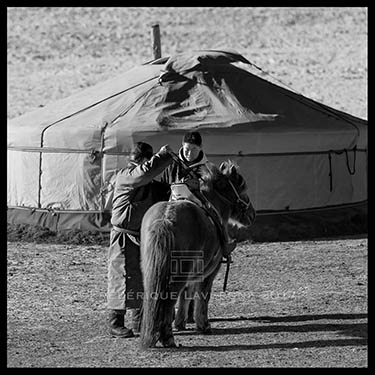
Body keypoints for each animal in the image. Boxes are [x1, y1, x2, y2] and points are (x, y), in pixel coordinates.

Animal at [140, 160, 258, 348]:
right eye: (242, 189)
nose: (252, 214)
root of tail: (166, 218)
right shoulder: (210, 272)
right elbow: (203, 295)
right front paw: (203, 325)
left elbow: (186, 295)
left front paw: (181, 323)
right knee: (169, 298)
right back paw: (168, 338)